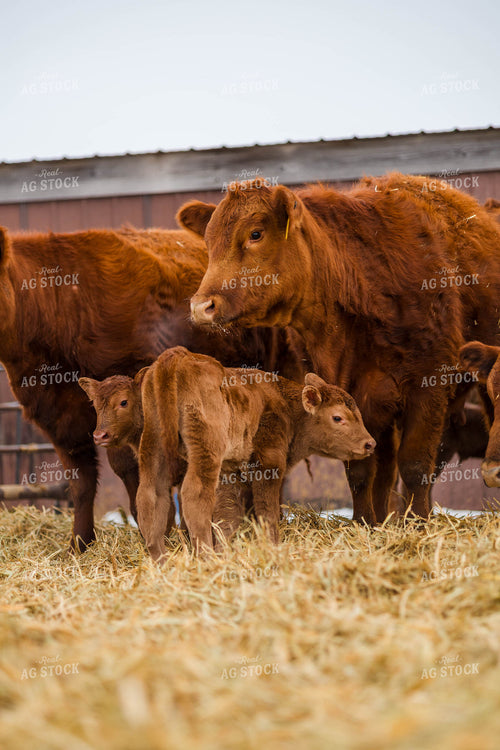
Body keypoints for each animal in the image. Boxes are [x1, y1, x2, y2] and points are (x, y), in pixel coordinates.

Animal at [126, 346, 374, 560]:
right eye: (337, 417)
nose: (370, 444)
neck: (286, 405)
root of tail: (178, 356)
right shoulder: (268, 464)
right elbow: (267, 512)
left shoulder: (230, 472)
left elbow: (228, 516)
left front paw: (225, 551)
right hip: (205, 449)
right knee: (194, 494)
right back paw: (205, 556)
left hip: (153, 446)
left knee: (149, 496)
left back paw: (160, 559)